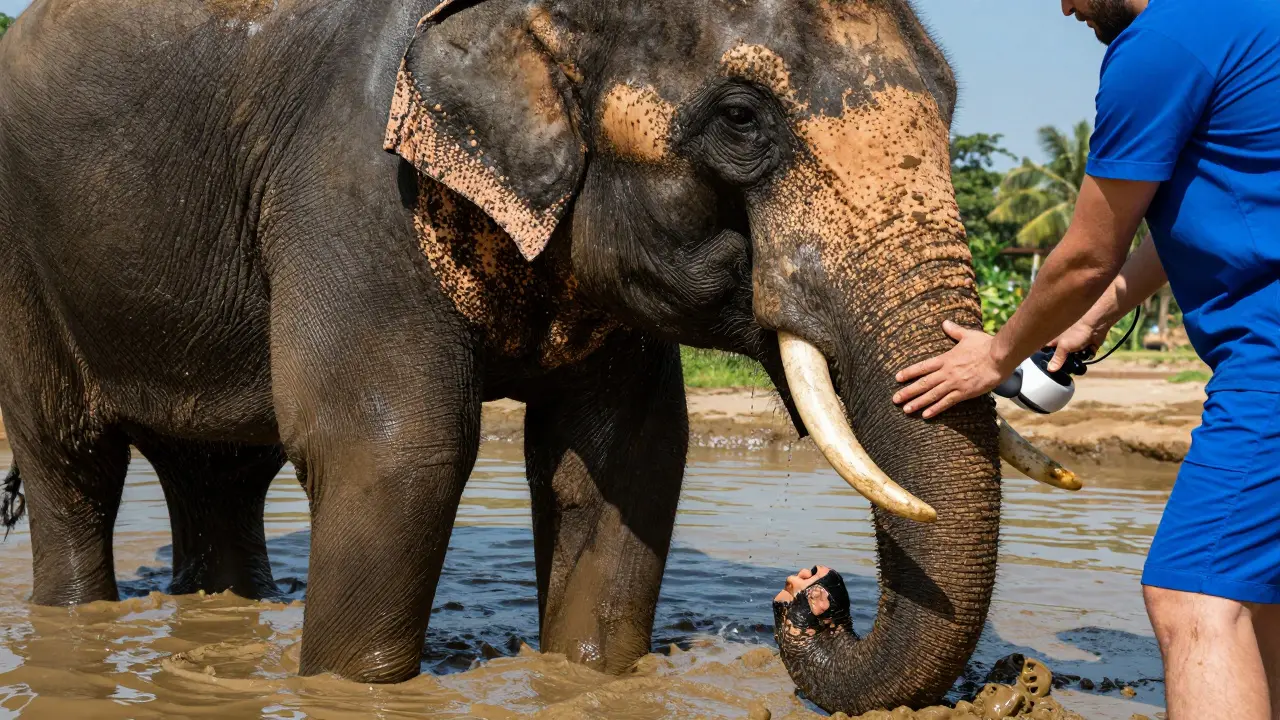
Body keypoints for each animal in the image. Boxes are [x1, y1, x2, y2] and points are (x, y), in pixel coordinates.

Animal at [0, 0, 1076, 713]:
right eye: (741, 119)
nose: (810, 592)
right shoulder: (350, 176)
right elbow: (395, 454)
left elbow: (623, 462)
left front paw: (586, 678)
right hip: (23, 267)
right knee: (71, 462)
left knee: (220, 472)